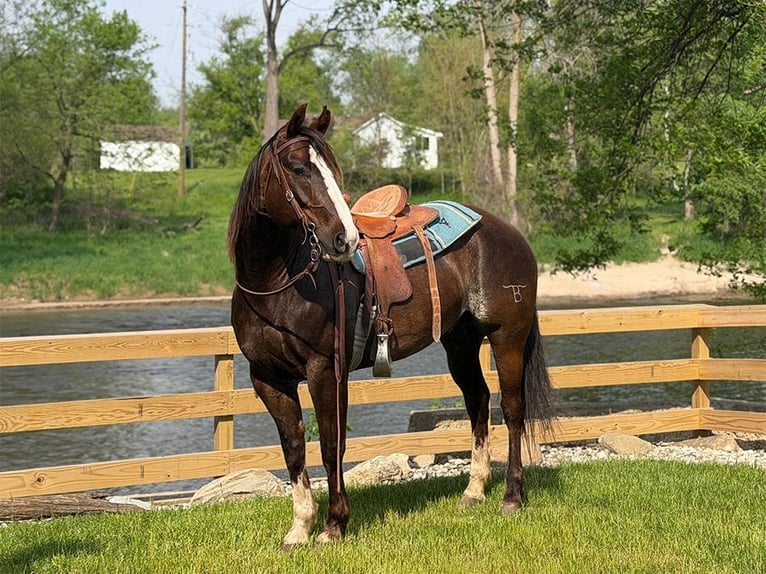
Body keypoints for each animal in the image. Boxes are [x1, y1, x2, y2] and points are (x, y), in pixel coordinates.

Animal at [228, 103, 554, 549]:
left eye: (331, 168)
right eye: (298, 169)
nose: (344, 239)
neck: (277, 284)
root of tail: (508, 232)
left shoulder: (325, 372)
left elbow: (331, 445)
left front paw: (334, 525)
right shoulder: (267, 378)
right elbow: (294, 448)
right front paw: (299, 529)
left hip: (507, 336)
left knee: (513, 408)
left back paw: (512, 497)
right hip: (460, 343)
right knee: (478, 402)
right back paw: (473, 491)